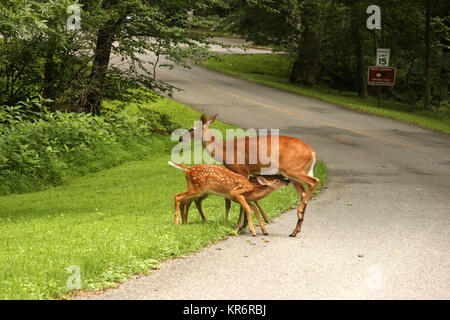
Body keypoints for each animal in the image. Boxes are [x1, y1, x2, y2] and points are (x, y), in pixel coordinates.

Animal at [180, 114, 320, 236]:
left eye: (191, 129)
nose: (180, 138)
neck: (225, 151)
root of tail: (313, 153)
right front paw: (248, 223)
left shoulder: (242, 170)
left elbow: (238, 201)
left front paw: (239, 225)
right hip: (292, 174)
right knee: (303, 193)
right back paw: (295, 230)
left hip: (293, 169)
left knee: (314, 181)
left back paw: (299, 212)